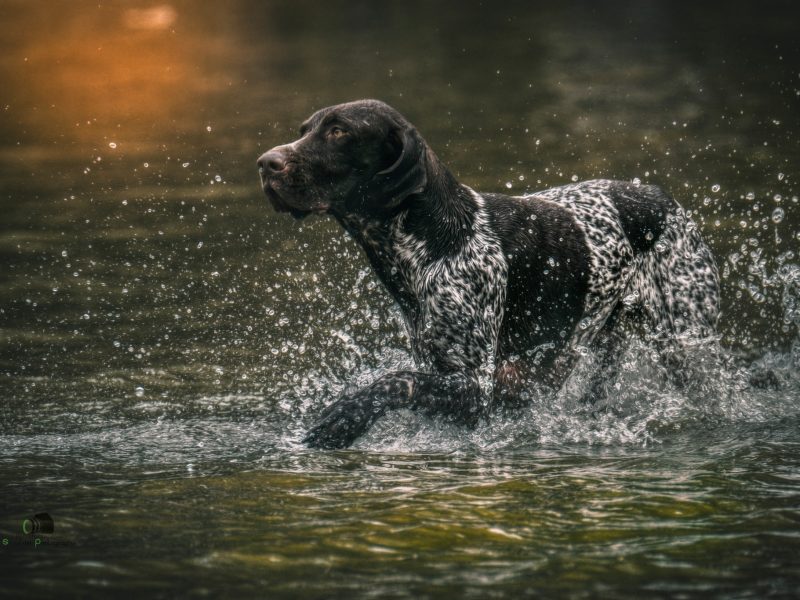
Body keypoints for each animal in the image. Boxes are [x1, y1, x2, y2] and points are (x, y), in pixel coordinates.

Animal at [260, 99, 720, 446]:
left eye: (339, 132)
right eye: (305, 130)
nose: (265, 163)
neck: (433, 242)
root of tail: (661, 196)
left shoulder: (474, 386)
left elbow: (394, 381)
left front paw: (344, 418)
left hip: (687, 347)